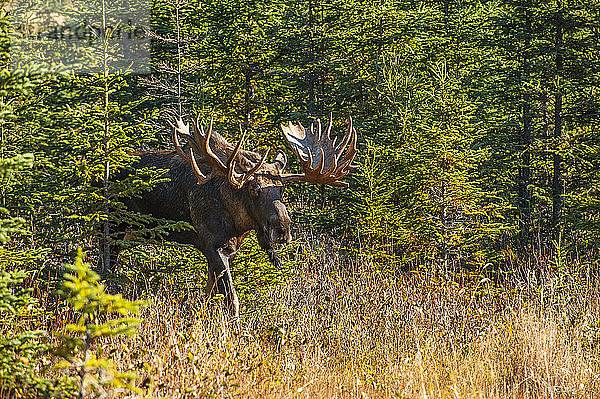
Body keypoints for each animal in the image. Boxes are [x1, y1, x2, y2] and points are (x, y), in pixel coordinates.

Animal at [120, 115, 358, 318]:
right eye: (254, 189)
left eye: (282, 189)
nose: (282, 229)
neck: (238, 222)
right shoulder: (213, 245)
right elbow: (231, 299)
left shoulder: (228, 250)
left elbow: (210, 294)